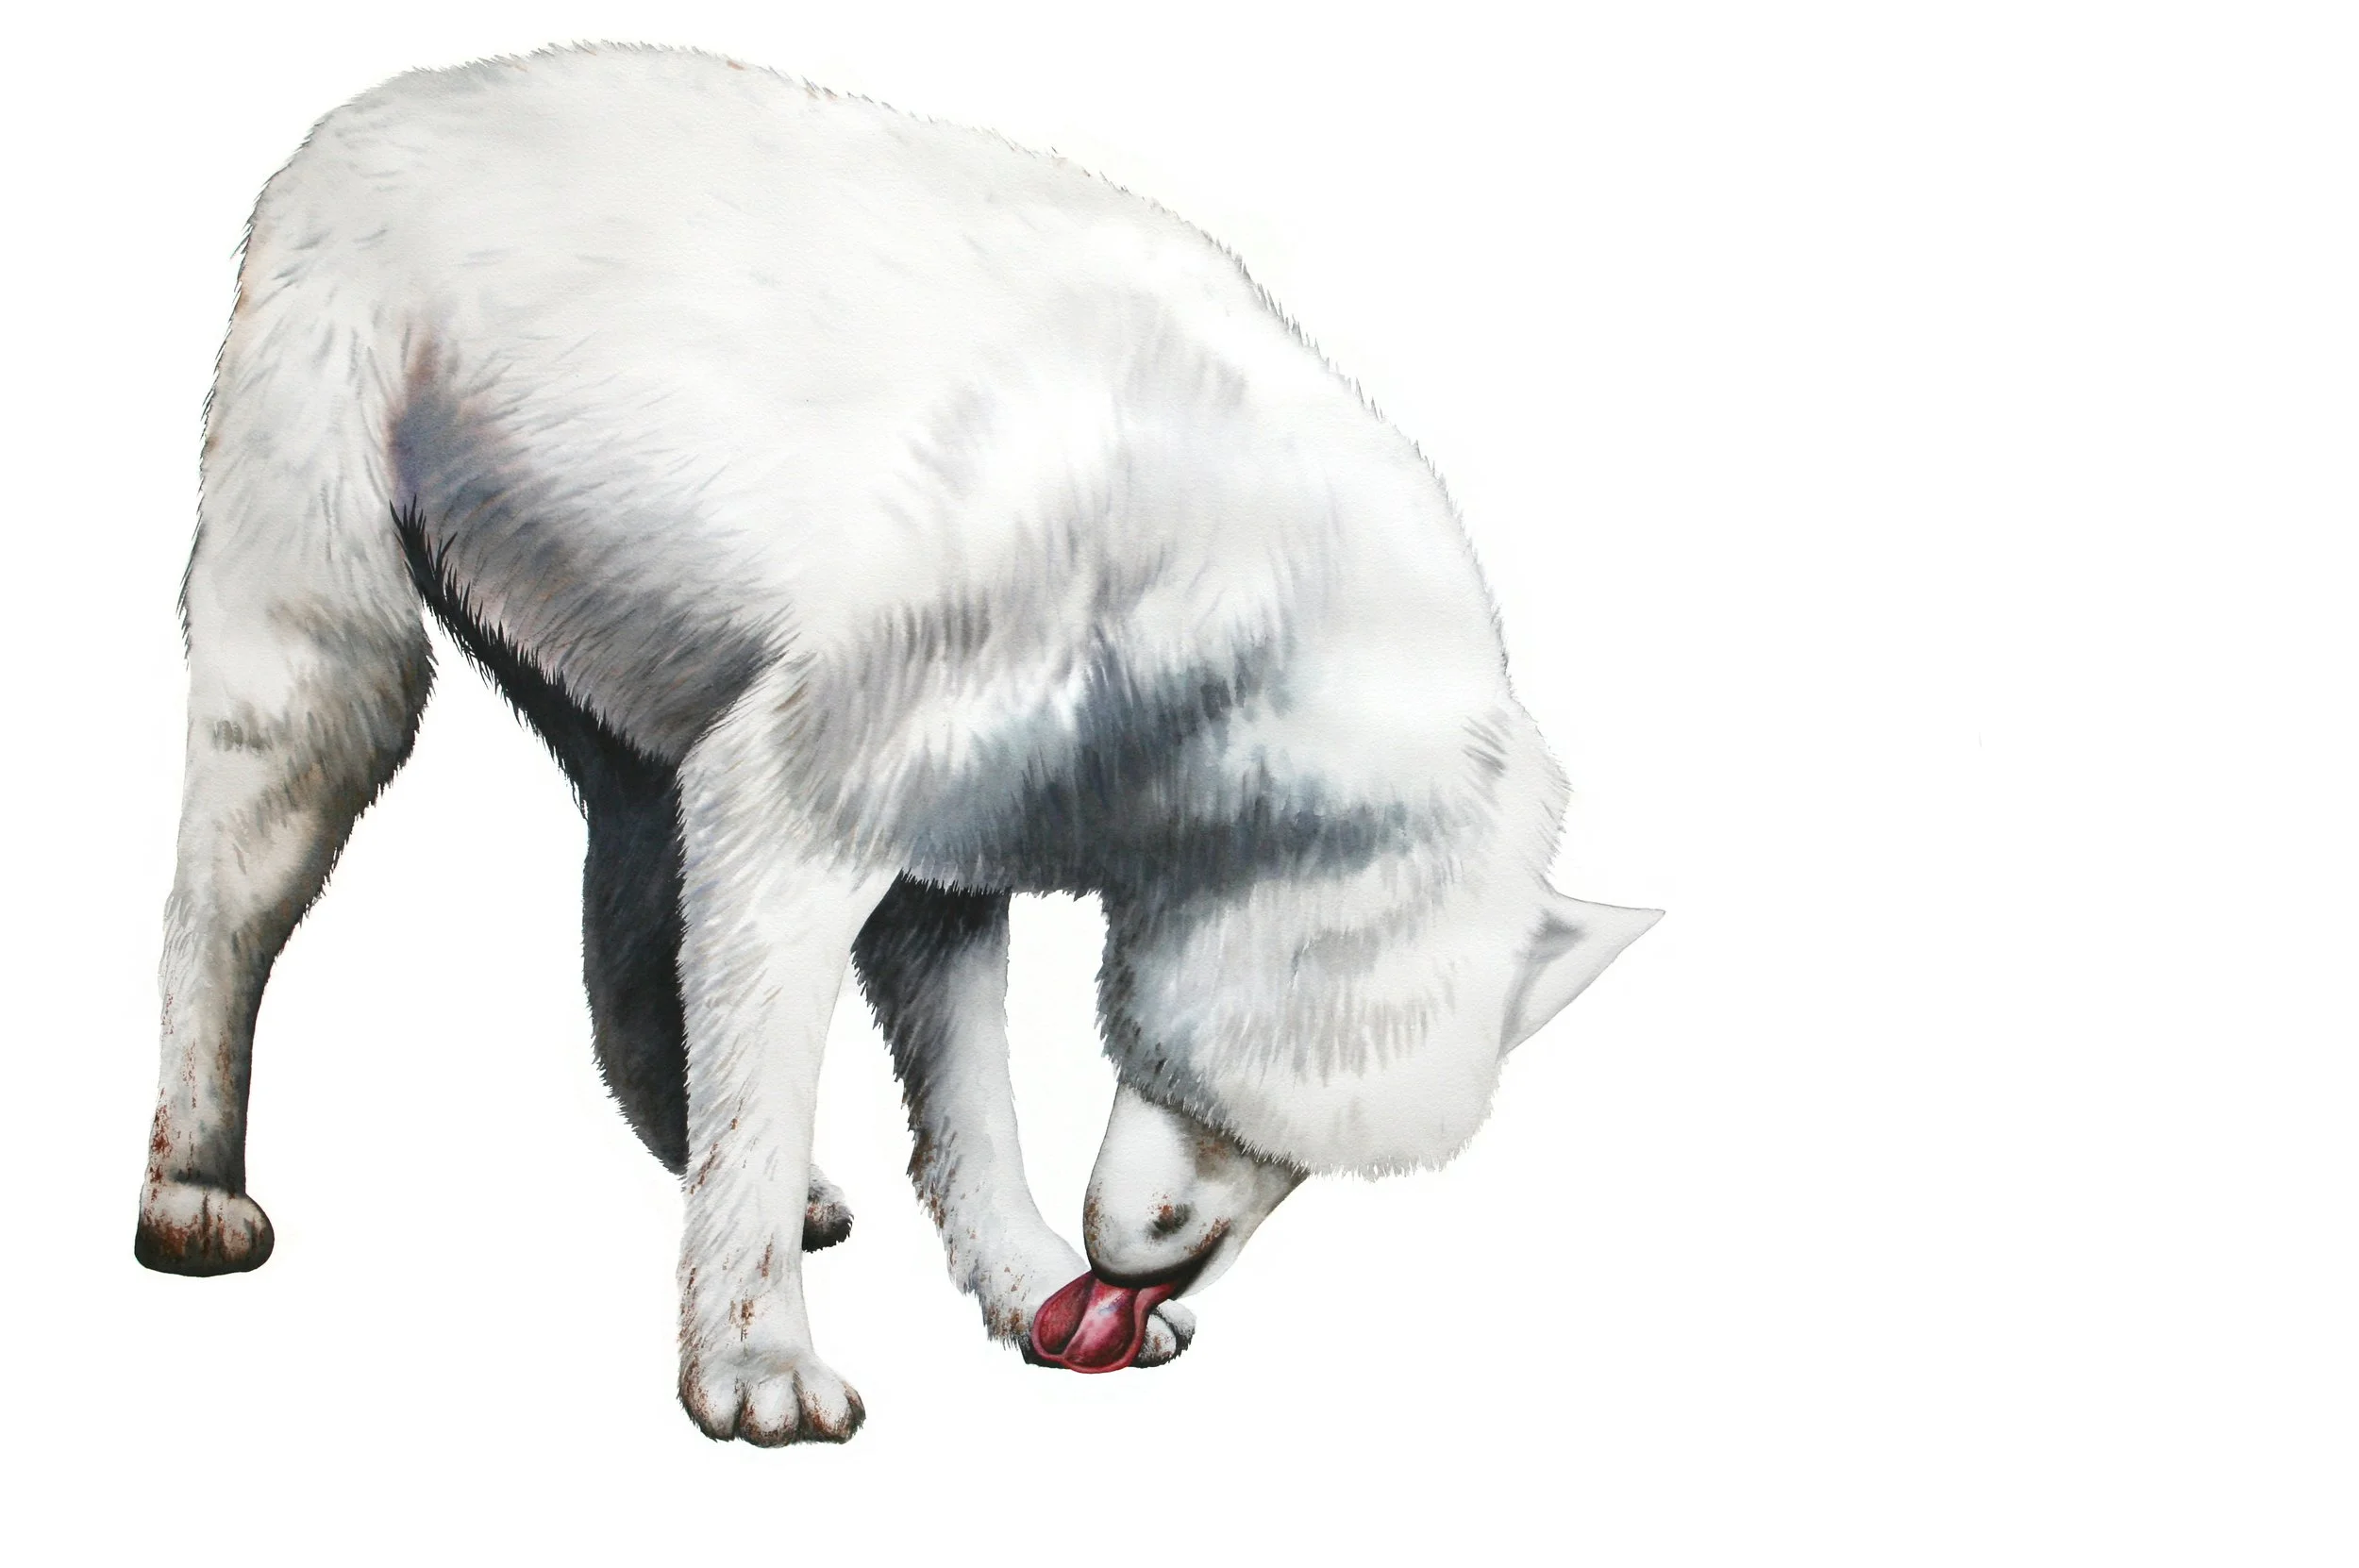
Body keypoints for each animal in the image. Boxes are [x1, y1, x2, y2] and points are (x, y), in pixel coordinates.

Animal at [136, 44, 1659, 1445]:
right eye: (1191, 1090)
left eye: (1291, 1161)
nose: (1136, 1285)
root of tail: (370, 104)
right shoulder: (805, 791)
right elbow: (790, 1062)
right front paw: (757, 1365)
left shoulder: (949, 853)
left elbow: (965, 1098)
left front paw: (1021, 1286)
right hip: (328, 619)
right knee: (233, 881)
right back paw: (193, 1188)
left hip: (633, 689)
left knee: (631, 922)